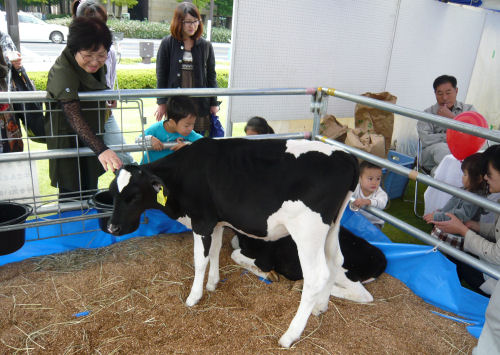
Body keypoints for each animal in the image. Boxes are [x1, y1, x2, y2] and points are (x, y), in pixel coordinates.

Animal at [107, 138, 374, 348]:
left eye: (133, 197)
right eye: (113, 193)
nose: (112, 228)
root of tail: (345, 155)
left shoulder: (202, 222)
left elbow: (200, 259)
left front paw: (194, 296)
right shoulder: (216, 221)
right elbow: (215, 251)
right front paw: (213, 283)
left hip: (307, 232)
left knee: (317, 275)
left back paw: (290, 335)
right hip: (332, 226)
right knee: (335, 260)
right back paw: (320, 307)